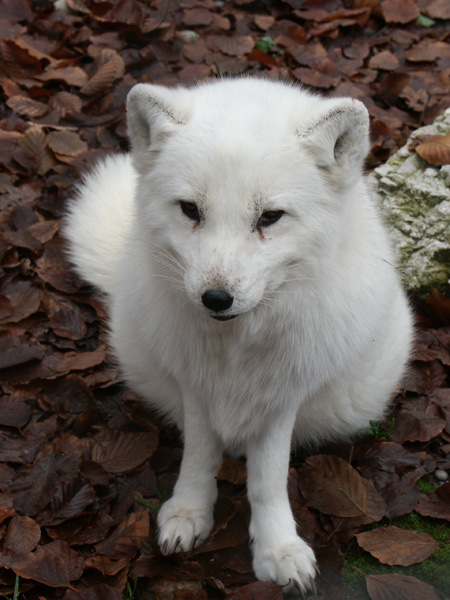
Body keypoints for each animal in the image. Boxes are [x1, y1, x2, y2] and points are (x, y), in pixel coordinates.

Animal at [65, 77, 414, 592]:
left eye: (269, 217)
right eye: (190, 209)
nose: (215, 298)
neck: (236, 347)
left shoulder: (282, 396)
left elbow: (267, 480)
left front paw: (278, 549)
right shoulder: (194, 385)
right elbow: (199, 455)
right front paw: (189, 513)